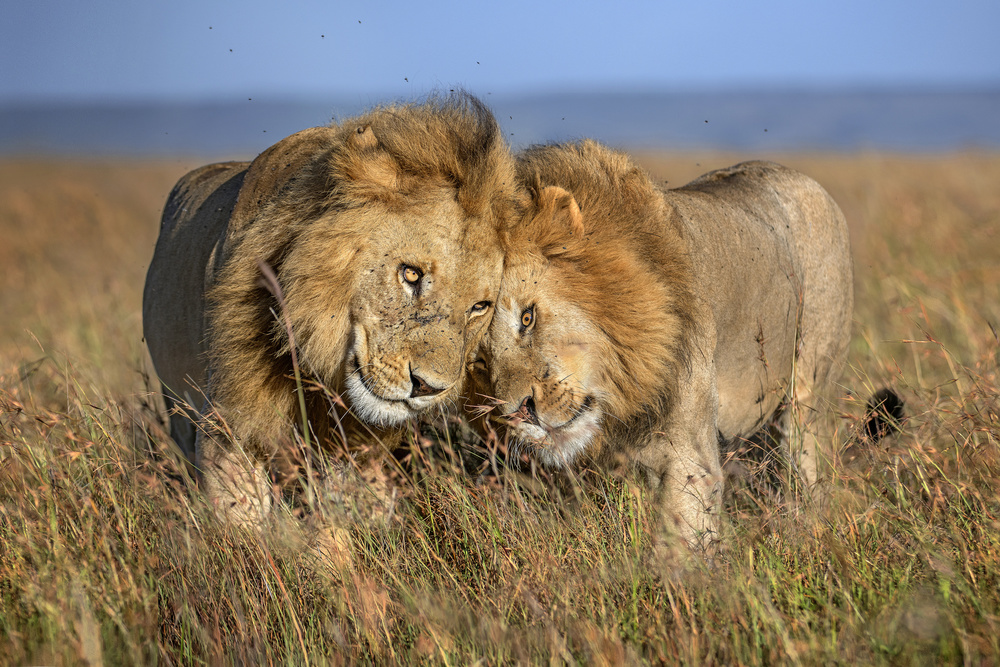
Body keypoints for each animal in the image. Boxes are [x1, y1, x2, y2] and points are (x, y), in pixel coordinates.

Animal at [146, 94, 532, 528]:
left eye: (479, 307)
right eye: (411, 274)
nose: (428, 388)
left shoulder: (357, 451)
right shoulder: (229, 422)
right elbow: (242, 523)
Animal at [468, 142, 852, 560]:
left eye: (527, 317)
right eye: (479, 361)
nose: (518, 413)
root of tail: (799, 176)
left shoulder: (690, 460)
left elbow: (678, 552)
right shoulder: (627, 467)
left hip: (809, 390)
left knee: (806, 464)